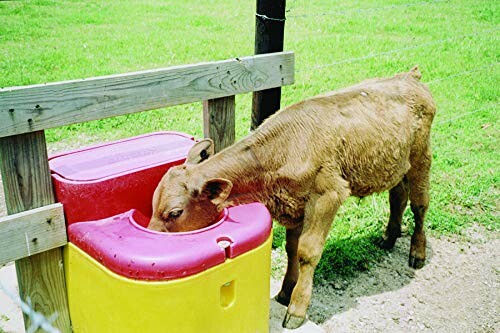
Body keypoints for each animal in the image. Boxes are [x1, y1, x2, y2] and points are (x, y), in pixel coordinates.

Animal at [147, 66, 434, 328]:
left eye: (174, 212)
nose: (153, 237)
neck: (279, 152)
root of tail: (409, 76)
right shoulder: (295, 203)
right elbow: (292, 248)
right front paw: (285, 292)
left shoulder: (328, 194)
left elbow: (308, 251)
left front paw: (297, 308)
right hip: (396, 164)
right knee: (398, 196)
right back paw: (389, 236)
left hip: (421, 157)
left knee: (420, 205)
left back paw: (417, 253)